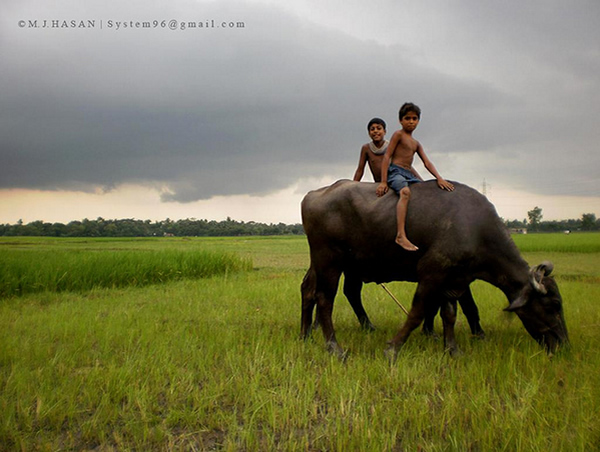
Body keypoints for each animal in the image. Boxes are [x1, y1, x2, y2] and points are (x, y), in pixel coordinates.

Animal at [302, 178, 568, 358]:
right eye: (553, 305)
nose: (564, 343)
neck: (475, 229)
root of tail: (314, 194)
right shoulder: (432, 274)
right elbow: (418, 312)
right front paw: (393, 348)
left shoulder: (455, 280)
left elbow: (450, 313)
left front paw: (452, 349)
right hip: (329, 259)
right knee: (325, 298)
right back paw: (334, 348)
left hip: (330, 263)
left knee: (312, 289)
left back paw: (306, 335)